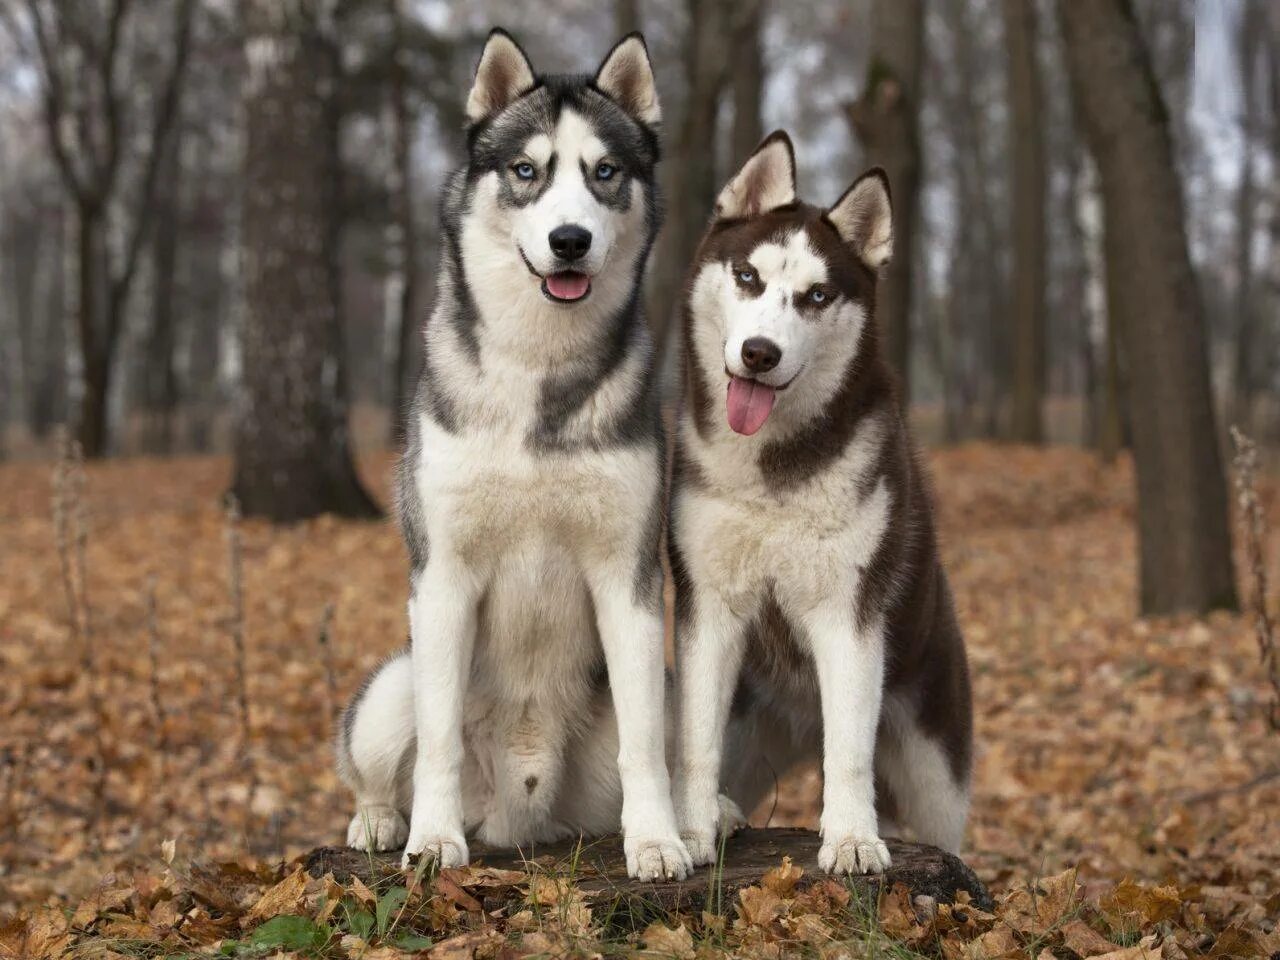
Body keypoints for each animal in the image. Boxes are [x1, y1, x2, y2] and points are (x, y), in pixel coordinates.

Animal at [335, 30, 696, 885]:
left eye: (605, 172)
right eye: (526, 171)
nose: (571, 240)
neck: (538, 369)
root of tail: (517, 817)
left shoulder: (630, 580)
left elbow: (646, 747)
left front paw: (657, 842)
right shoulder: (443, 577)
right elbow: (436, 739)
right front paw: (431, 840)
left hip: (658, 691)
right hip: (390, 685)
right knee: (378, 763)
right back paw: (379, 822)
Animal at [670, 135, 967, 880]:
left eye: (817, 295)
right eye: (747, 275)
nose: (759, 353)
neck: (774, 472)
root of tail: (800, 723)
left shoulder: (848, 615)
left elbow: (850, 752)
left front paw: (854, 837)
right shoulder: (709, 606)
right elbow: (694, 739)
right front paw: (687, 829)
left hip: (934, 770)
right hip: (753, 729)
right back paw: (721, 812)